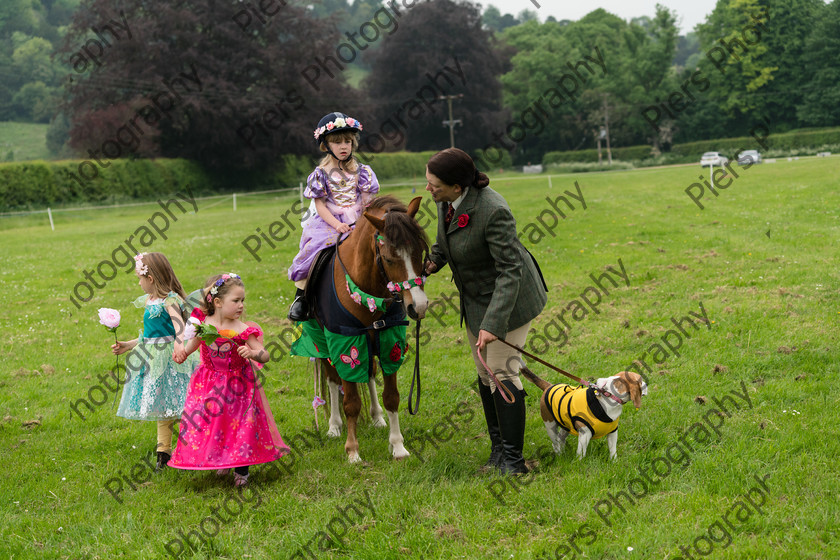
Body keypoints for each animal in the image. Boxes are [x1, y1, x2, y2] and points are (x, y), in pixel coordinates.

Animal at [520, 368, 648, 460]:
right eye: (641, 380)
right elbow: (581, 454)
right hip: (550, 425)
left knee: (560, 439)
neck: (608, 395)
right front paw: (579, 464)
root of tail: (549, 386)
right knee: (555, 443)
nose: (647, 384)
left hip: (566, 426)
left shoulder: (612, 432)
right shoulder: (584, 434)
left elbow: (613, 450)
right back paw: (559, 455)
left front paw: (614, 462)